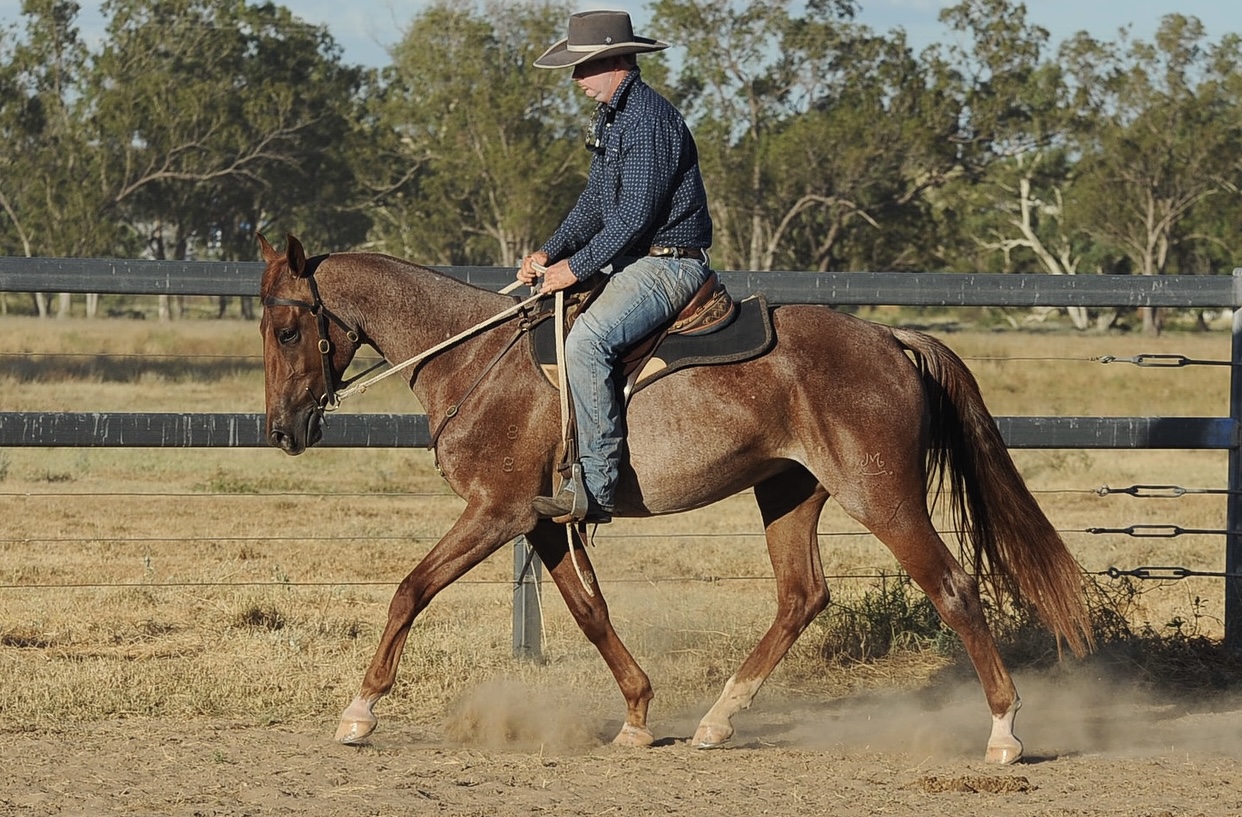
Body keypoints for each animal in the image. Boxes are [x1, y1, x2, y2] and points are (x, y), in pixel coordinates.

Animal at [257, 233, 1093, 764]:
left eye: (291, 329)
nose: (283, 429)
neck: (473, 357)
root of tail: (890, 338)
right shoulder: (544, 523)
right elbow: (591, 612)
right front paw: (636, 713)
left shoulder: (496, 511)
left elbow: (411, 588)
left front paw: (360, 710)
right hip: (788, 491)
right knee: (802, 595)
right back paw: (718, 720)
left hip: (882, 496)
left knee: (951, 587)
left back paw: (1004, 731)